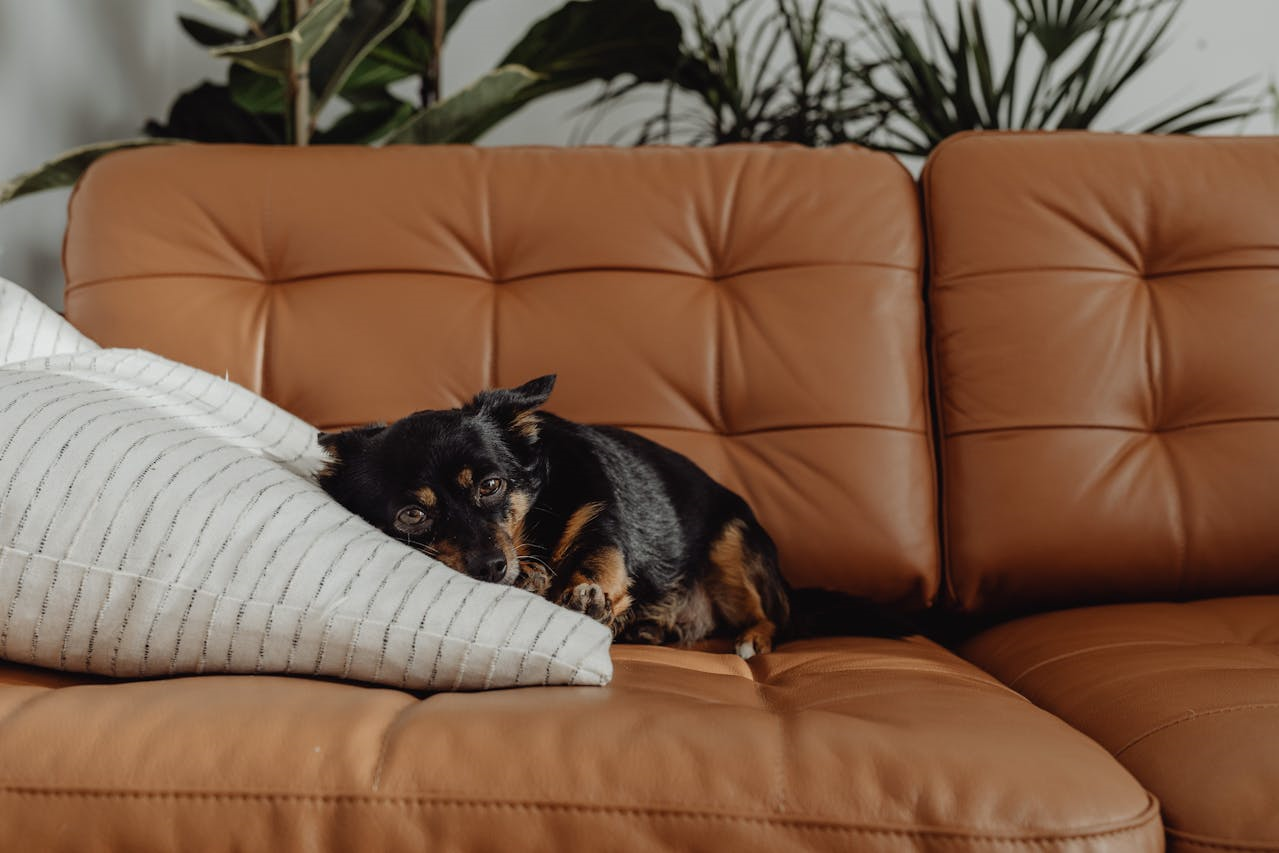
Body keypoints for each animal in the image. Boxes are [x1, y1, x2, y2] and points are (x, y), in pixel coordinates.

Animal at [314, 375, 905, 659]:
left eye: (491, 486)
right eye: (412, 515)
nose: (491, 569)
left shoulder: (600, 519)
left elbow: (598, 556)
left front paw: (585, 591)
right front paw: (535, 577)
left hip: (733, 546)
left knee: (774, 616)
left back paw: (751, 641)